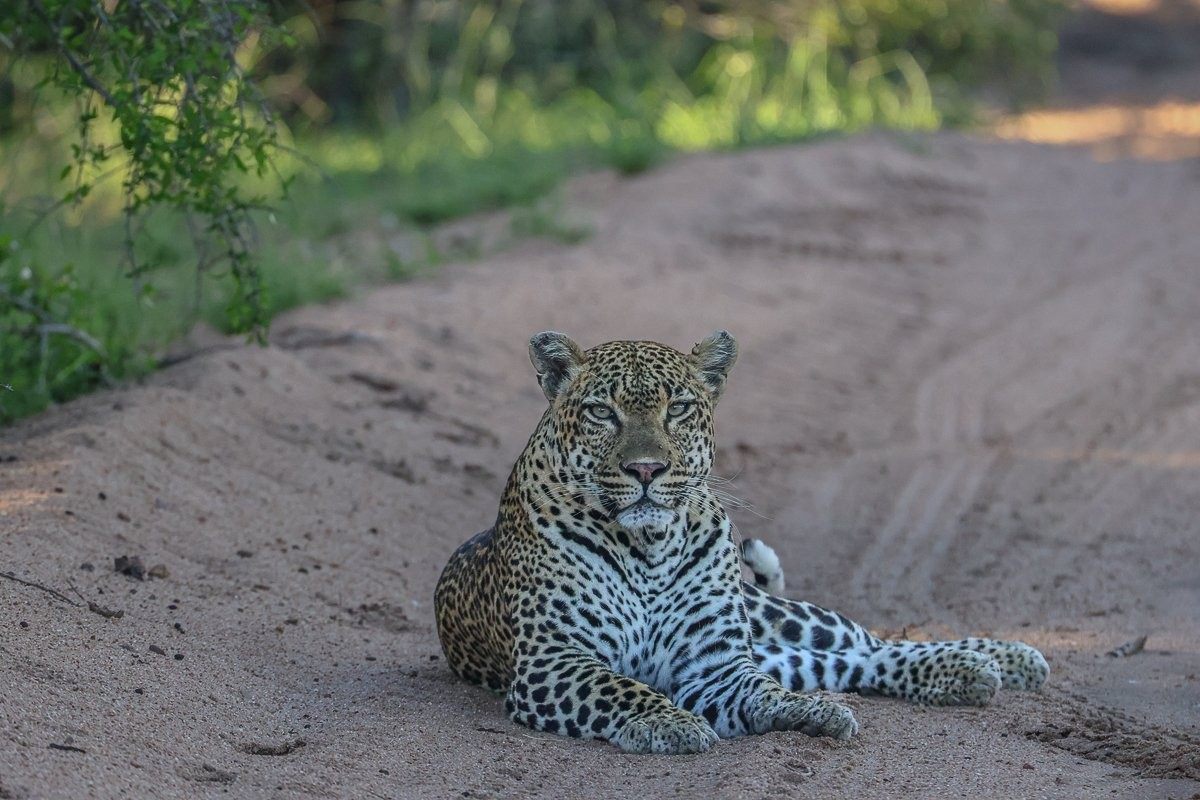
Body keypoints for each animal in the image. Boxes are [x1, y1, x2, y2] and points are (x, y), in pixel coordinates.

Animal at [434, 331, 1048, 754]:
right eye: (602, 413)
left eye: (678, 408)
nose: (647, 470)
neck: (648, 548)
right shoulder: (554, 660)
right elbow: (621, 688)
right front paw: (669, 722)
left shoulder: (717, 665)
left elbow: (765, 693)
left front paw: (811, 713)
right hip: (783, 648)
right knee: (849, 663)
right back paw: (973, 672)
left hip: (777, 617)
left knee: (867, 642)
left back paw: (1004, 659)